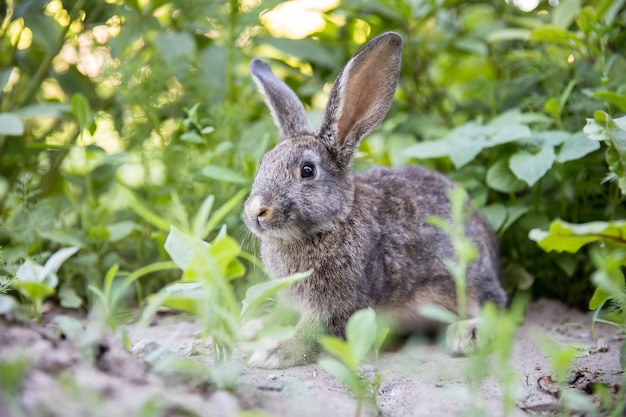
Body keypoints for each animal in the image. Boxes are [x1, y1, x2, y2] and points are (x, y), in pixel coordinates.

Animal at [241, 31, 504, 368]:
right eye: (263, 163)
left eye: (307, 171)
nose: (256, 210)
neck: (332, 223)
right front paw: (252, 327)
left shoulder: (338, 303)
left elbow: (312, 333)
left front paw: (274, 353)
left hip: (468, 278)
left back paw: (465, 334)